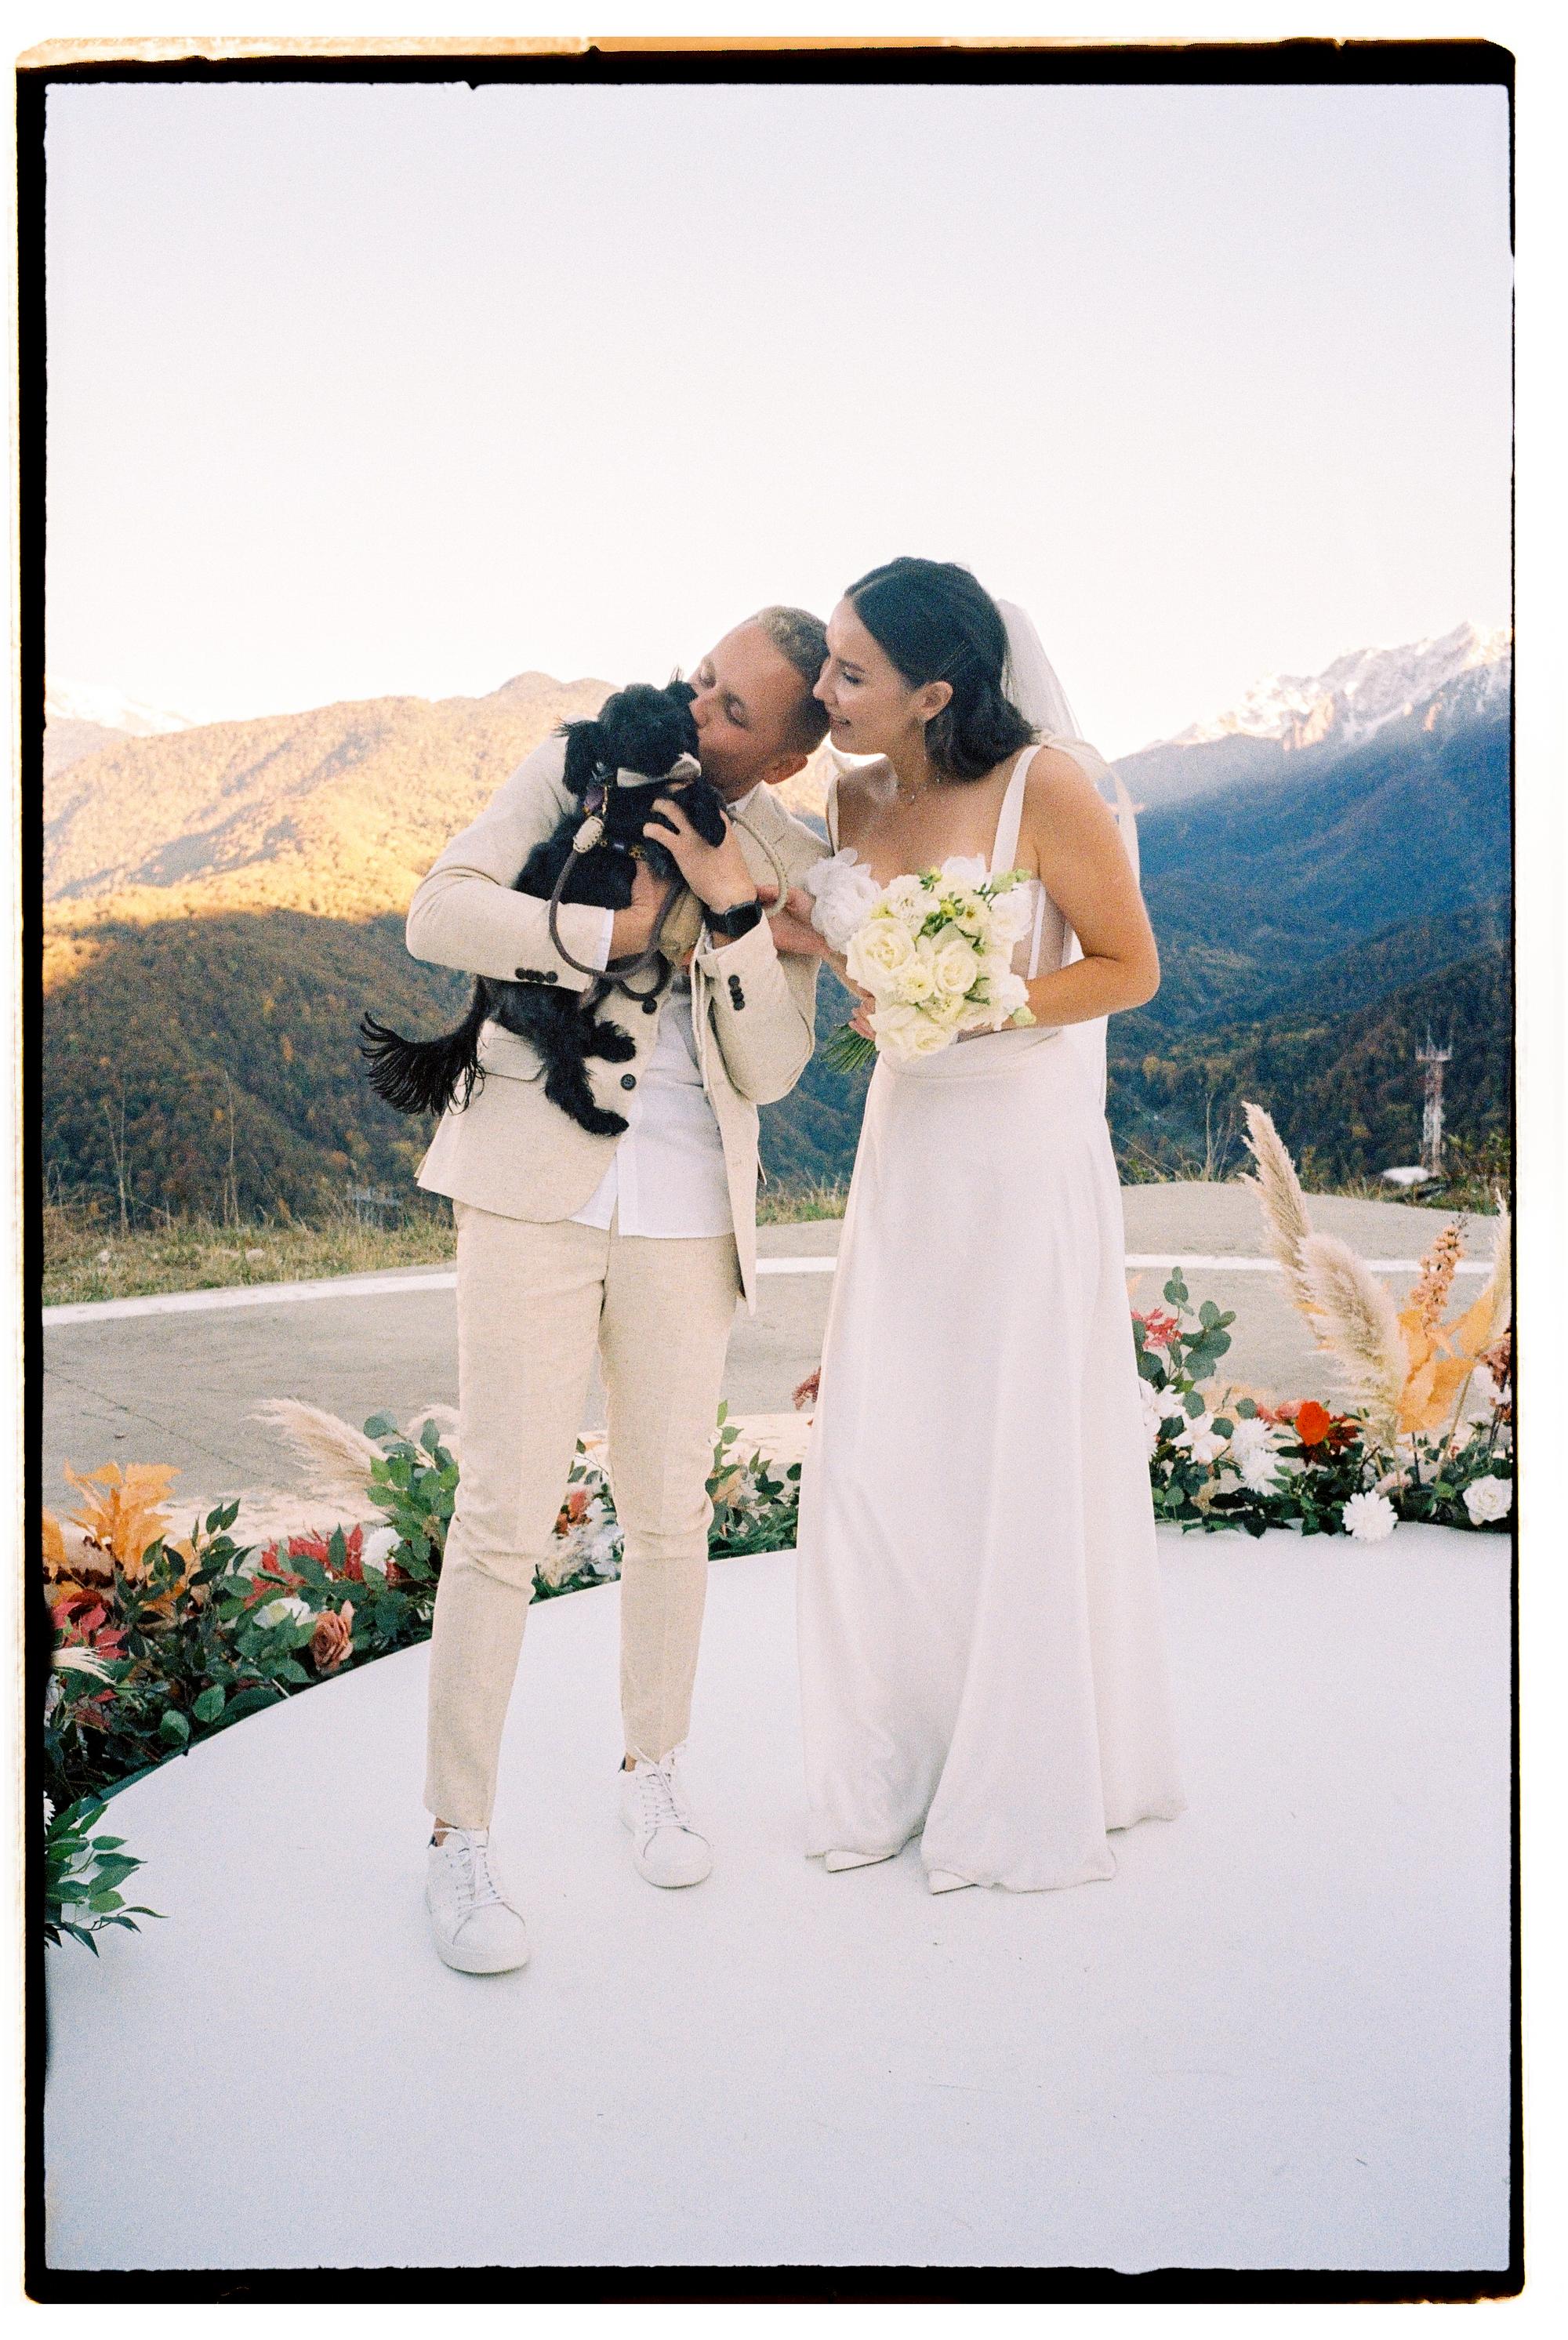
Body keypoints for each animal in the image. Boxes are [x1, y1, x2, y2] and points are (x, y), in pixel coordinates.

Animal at [359, 680, 729, 1138]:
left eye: (660, 705)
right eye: (625, 726)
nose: (667, 724)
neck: (630, 787)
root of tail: (484, 987)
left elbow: (688, 790)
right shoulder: (636, 817)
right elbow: (680, 796)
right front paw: (712, 822)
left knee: (577, 1033)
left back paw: (610, 1043)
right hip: (547, 1005)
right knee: (562, 1077)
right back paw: (599, 1117)